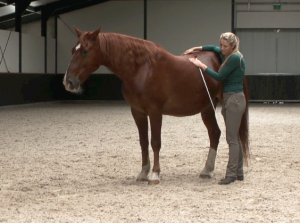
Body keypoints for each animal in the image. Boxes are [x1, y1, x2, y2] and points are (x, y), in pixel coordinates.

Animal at [62, 27, 250, 185]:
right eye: (72, 50)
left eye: (85, 51)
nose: (68, 82)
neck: (142, 69)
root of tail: (222, 57)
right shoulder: (137, 112)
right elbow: (143, 142)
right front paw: (143, 173)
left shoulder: (155, 112)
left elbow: (155, 142)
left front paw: (154, 175)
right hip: (207, 108)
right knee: (215, 133)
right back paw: (207, 170)